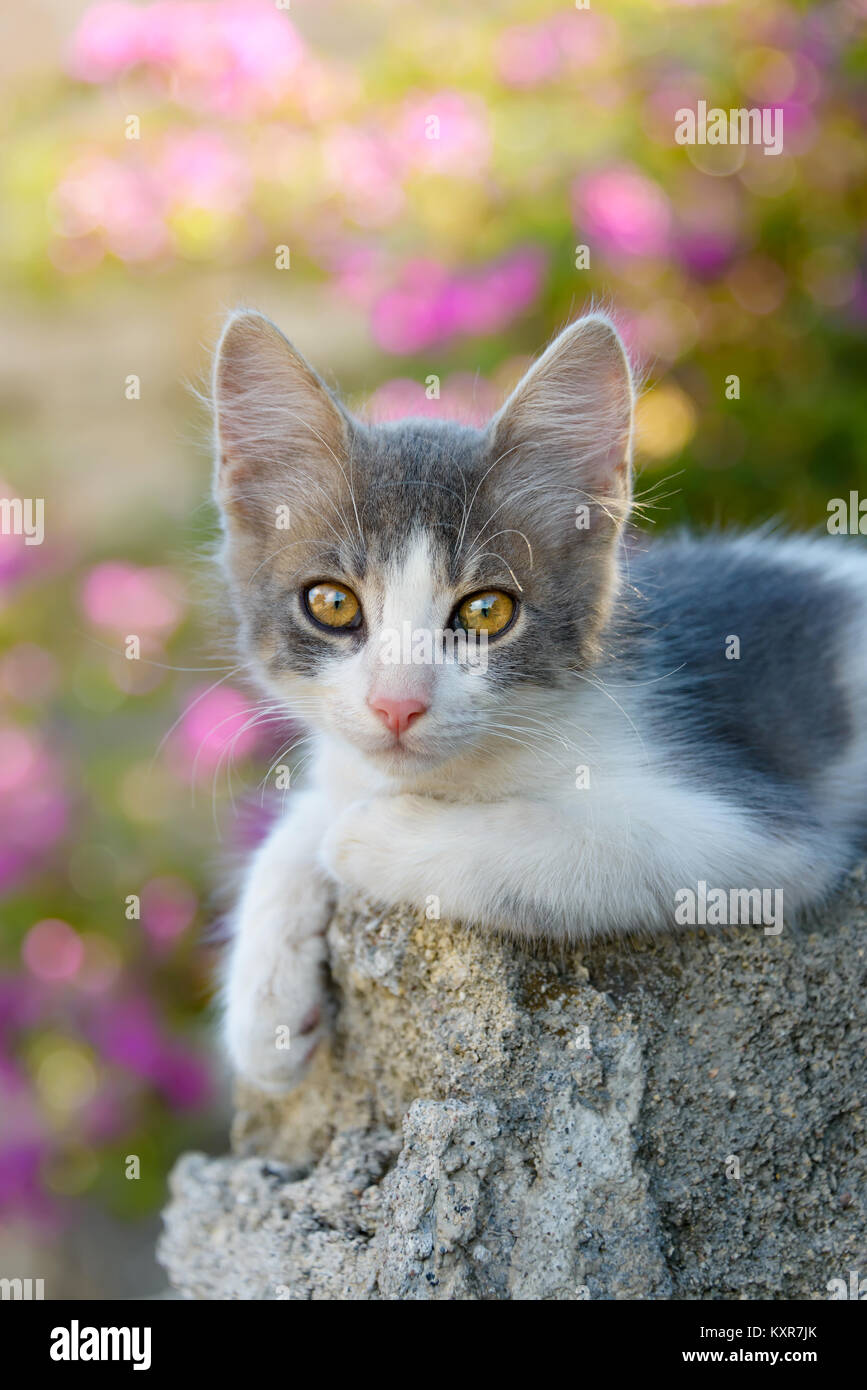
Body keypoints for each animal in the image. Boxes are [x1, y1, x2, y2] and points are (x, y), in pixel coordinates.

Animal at [209, 309, 867, 1089]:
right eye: (332, 603)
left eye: (487, 611)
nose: (397, 704)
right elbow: (304, 816)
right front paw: (266, 1006)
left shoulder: (760, 832)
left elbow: (587, 845)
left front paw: (375, 836)